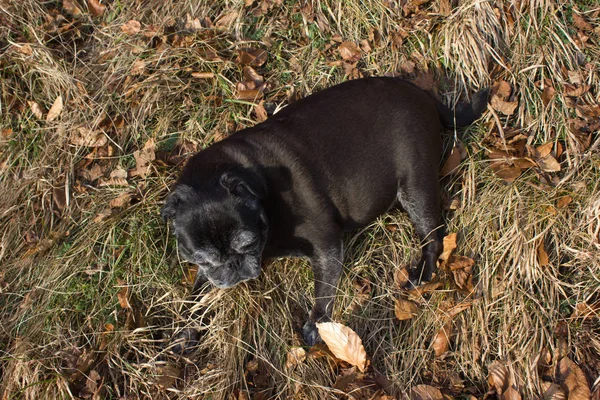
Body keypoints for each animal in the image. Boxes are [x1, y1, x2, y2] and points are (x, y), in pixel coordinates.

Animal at [161, 76, 488, 346]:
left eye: (248, 243)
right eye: (203, 258)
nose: (233, 265)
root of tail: (422, 93)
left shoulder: (326, 244)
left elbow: (325, 291)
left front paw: (317, 326)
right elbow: (195, 294)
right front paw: (186, 327)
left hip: (416, 188)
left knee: (433, 236)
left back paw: (423, 272)